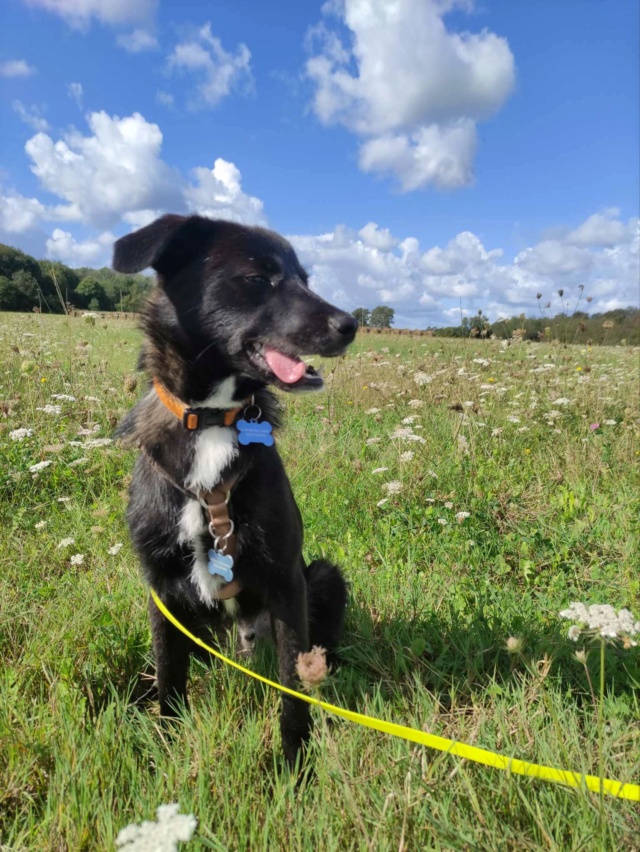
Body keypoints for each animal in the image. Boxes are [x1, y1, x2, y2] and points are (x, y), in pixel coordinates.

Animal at [112, 213, 358, 764]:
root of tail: (241, 646)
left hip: (324, 576)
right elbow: (169, 674)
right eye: (257, 278)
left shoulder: (288, 582)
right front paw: (164, 742)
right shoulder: (160, 588)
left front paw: (295, 764)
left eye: (305, 279)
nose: (350, 324)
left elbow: (292, 688)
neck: (211, 418)